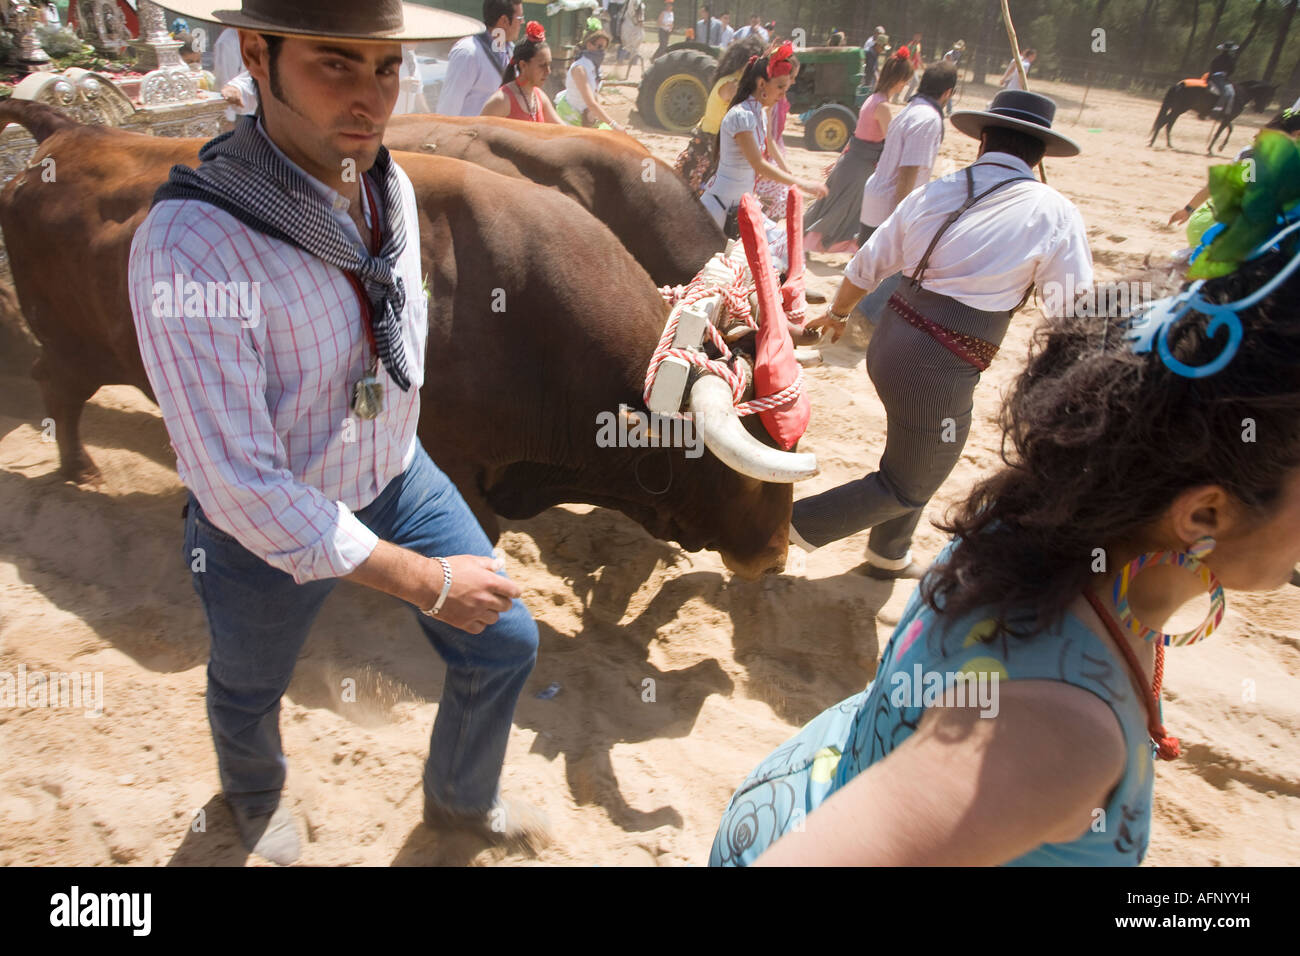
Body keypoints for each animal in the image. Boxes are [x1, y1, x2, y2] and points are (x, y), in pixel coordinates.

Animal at [1149, 78, 1279, 153]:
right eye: (1269, 95)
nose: (1261, 110)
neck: (1242, 93)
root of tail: (1179, 84)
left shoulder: (1225, 118)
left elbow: (1230, 129)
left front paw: (1220, 147)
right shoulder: (1228, 118)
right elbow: (1219, 133)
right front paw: (1212, 149)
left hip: (1177, 110)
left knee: (1166, 123)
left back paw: (1163, 143)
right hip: (1178, 110)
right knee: (1165, 123)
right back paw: (1155, 142)